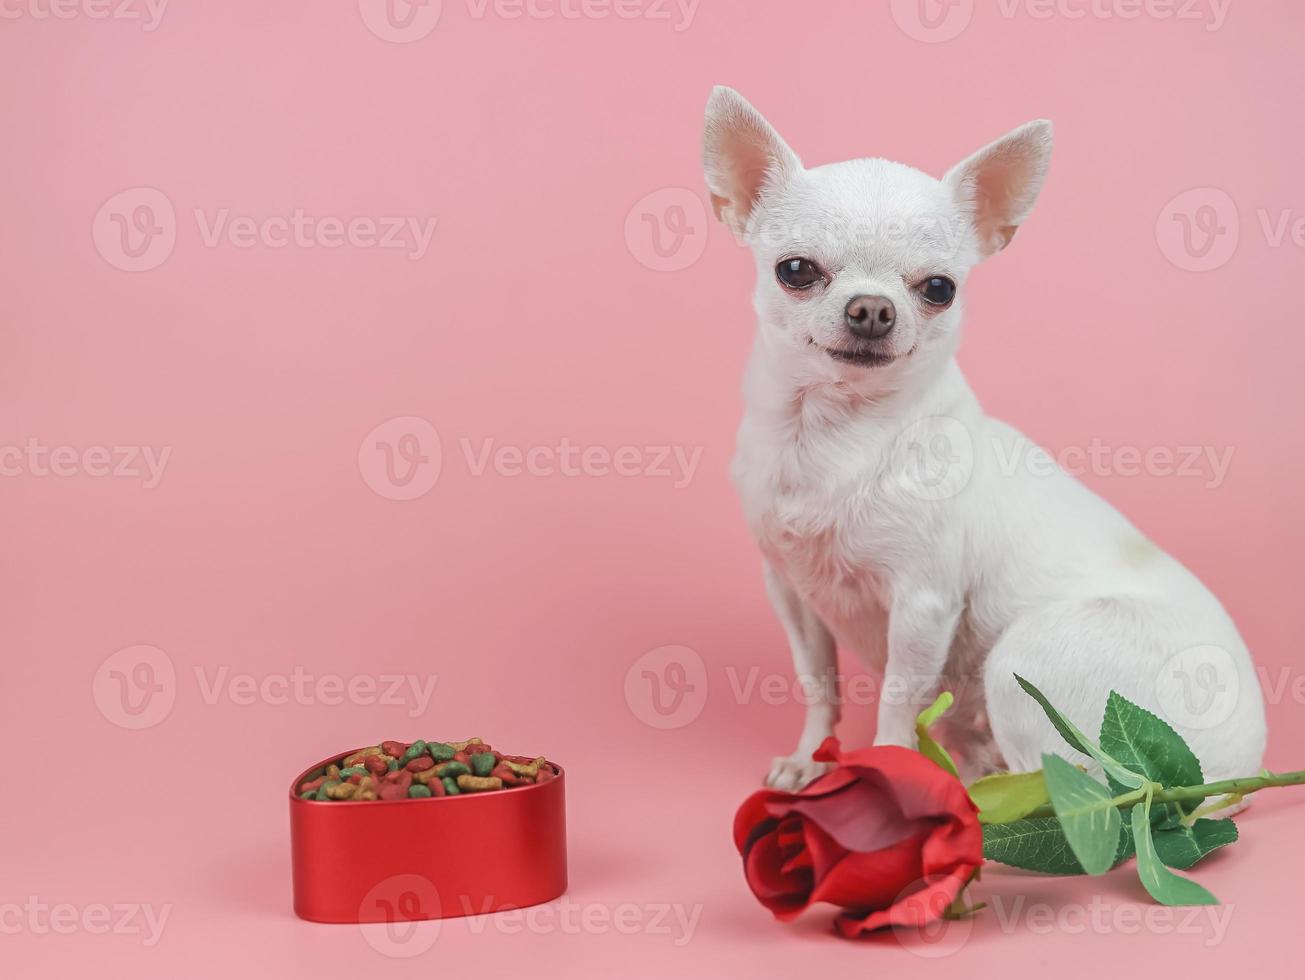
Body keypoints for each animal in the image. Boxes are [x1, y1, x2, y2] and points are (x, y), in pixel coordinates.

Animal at [704, 88, 1263, 793]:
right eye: (796, 271)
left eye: (939, 289)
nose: (872, 309)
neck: (836, 434)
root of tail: (1223, 776)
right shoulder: (792, 591)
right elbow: (818, 685)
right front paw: (810, 758)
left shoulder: (922, 605)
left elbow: (896, 701)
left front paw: (886, 770)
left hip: (1025, 659)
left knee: (1048, 778)